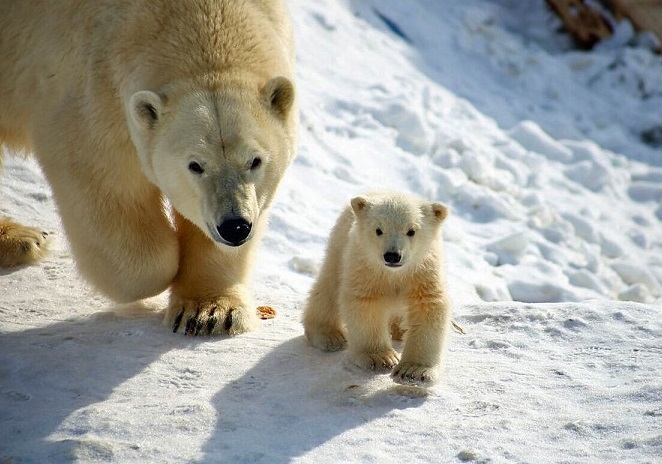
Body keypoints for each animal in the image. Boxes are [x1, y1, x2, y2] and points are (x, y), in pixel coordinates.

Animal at [0, 0, 296, 336]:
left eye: (255, 160)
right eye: (195, 165)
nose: (235, 226)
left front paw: (209, 312)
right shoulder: (92, 90)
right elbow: (103, 182)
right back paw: (25, 239)